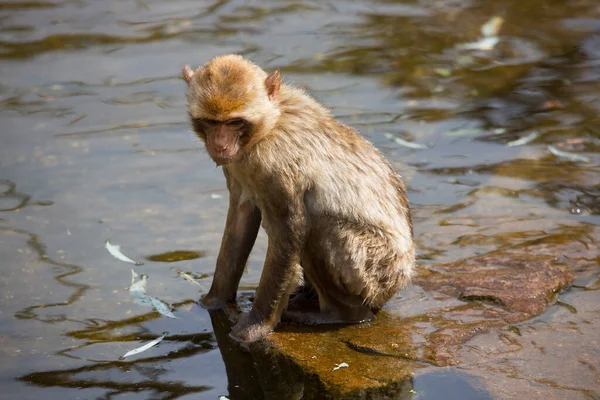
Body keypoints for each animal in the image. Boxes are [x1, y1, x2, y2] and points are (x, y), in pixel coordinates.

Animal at [184, 54, 418, 344]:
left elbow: (290, 229)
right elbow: (240, 219)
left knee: (321, 229)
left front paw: (256, 326)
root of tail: (403, 277)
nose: (220, 145)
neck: (268, 126)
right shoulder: (236, 165)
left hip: (377, 275)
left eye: (235, 122)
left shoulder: (276, 163)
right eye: (211, 122)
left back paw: (340, 313)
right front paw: (214, 300)